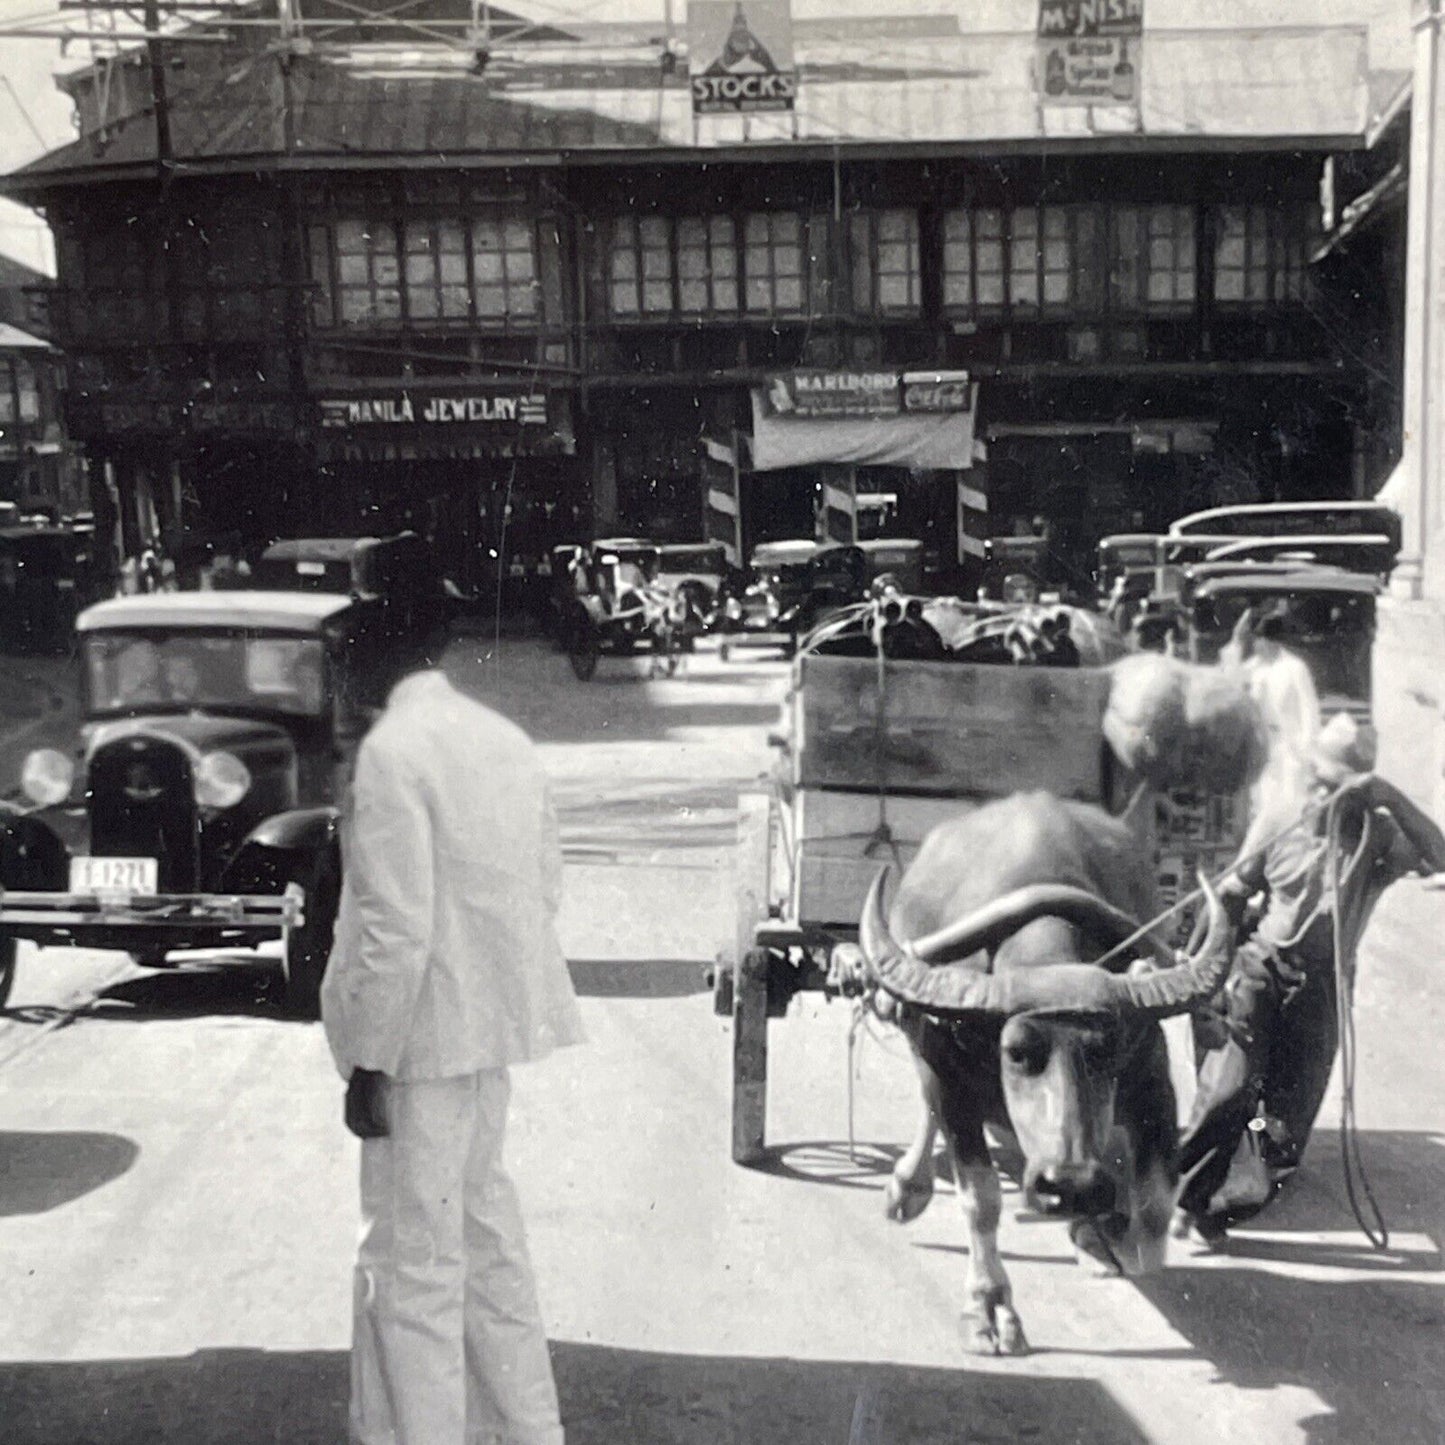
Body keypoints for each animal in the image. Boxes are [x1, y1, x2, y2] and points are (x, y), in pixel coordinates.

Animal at [855, 791, 1231, 1352]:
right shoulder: (950, 1078)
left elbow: (1153, 1215)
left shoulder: (1152, 1080)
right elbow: (981, 1198)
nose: (1070, 1184)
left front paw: (1101, 1235)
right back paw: (907, 1187)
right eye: (1016, 1052)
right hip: (916, 1035)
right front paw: (990, 1308)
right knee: (925, 1103)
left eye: (1106, 1050)